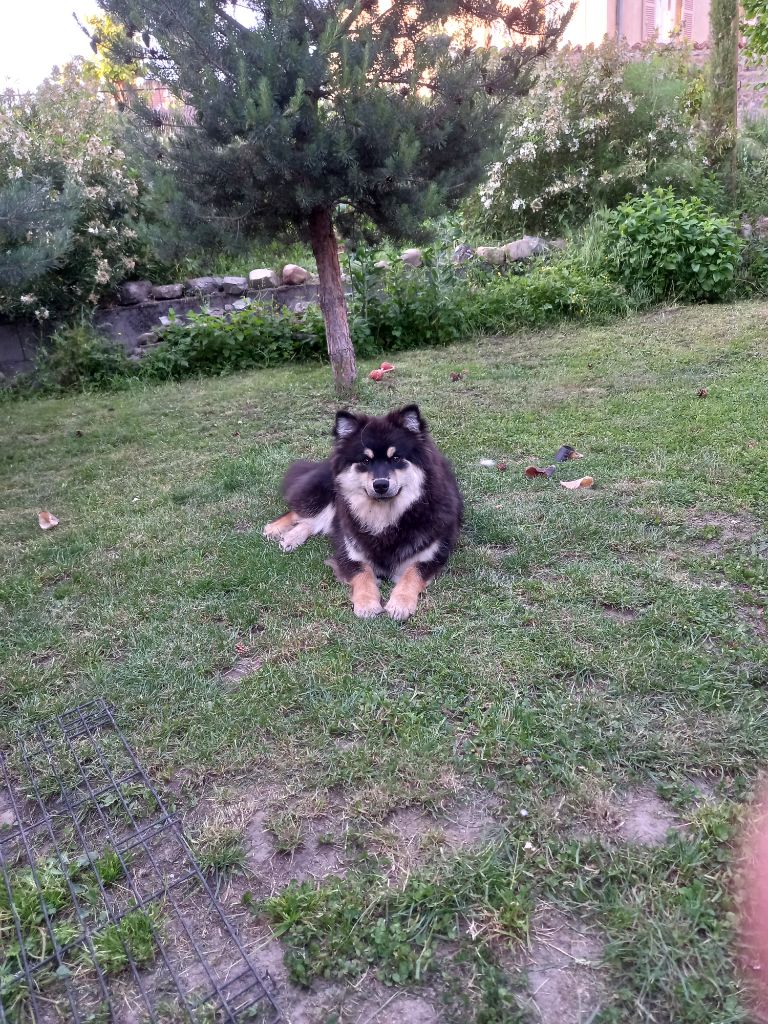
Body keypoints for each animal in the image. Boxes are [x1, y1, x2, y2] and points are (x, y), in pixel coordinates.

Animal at [264, 405, 462, 614]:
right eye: (366, 460)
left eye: (396, 458)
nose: (381, 484)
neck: (384, 517)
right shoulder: (350, 551)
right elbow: (363, 573)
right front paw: (367, 604)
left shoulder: (431, 555)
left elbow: (412, 574)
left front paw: (400, 603)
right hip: (327, 493)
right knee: (304, 512)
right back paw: (277, 529)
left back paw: (290, 538)